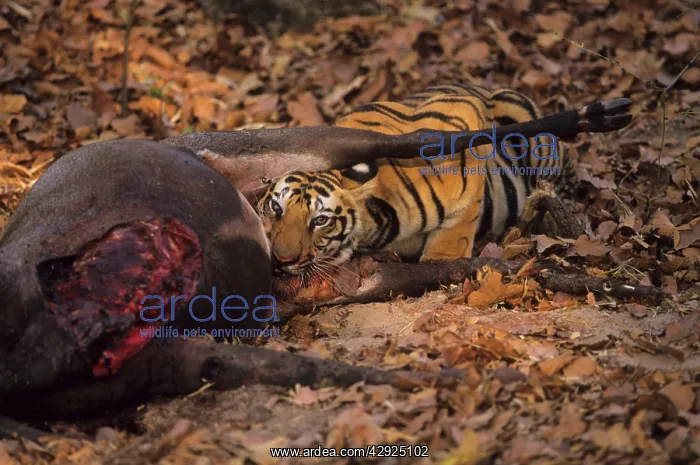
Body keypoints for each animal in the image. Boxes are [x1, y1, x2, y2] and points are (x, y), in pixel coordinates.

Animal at [255, 84, 575, 277]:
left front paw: (441, 261)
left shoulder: (459, 125)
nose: (281, 259)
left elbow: (454, 232)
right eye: (276, 208)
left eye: (320, 220)